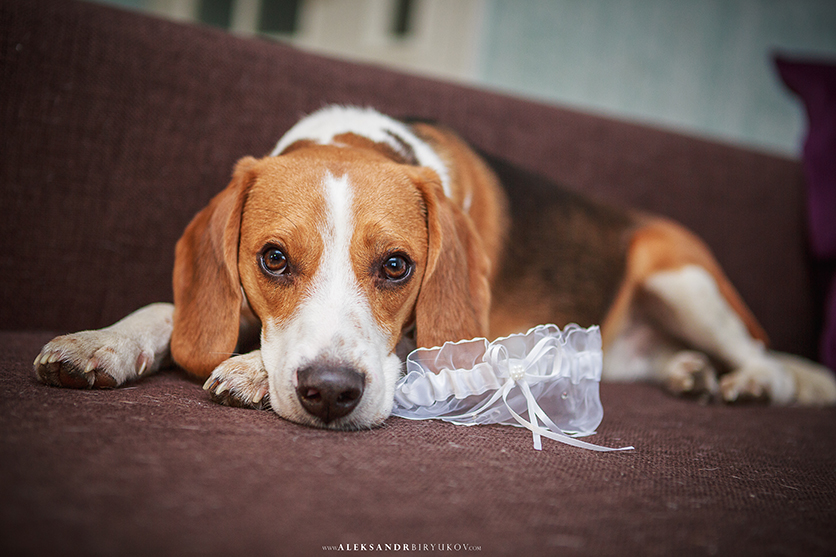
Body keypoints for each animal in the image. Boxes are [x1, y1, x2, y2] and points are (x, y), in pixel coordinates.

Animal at [36, 104, 836, 428]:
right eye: (273, 258)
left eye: (397, 266)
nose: (331, 394)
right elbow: (167, 313)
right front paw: (100, 342)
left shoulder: (453, 344)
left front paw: (251, 370)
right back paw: (689, 373)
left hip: (684, 279)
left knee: (763, 359)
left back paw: (748, 384)